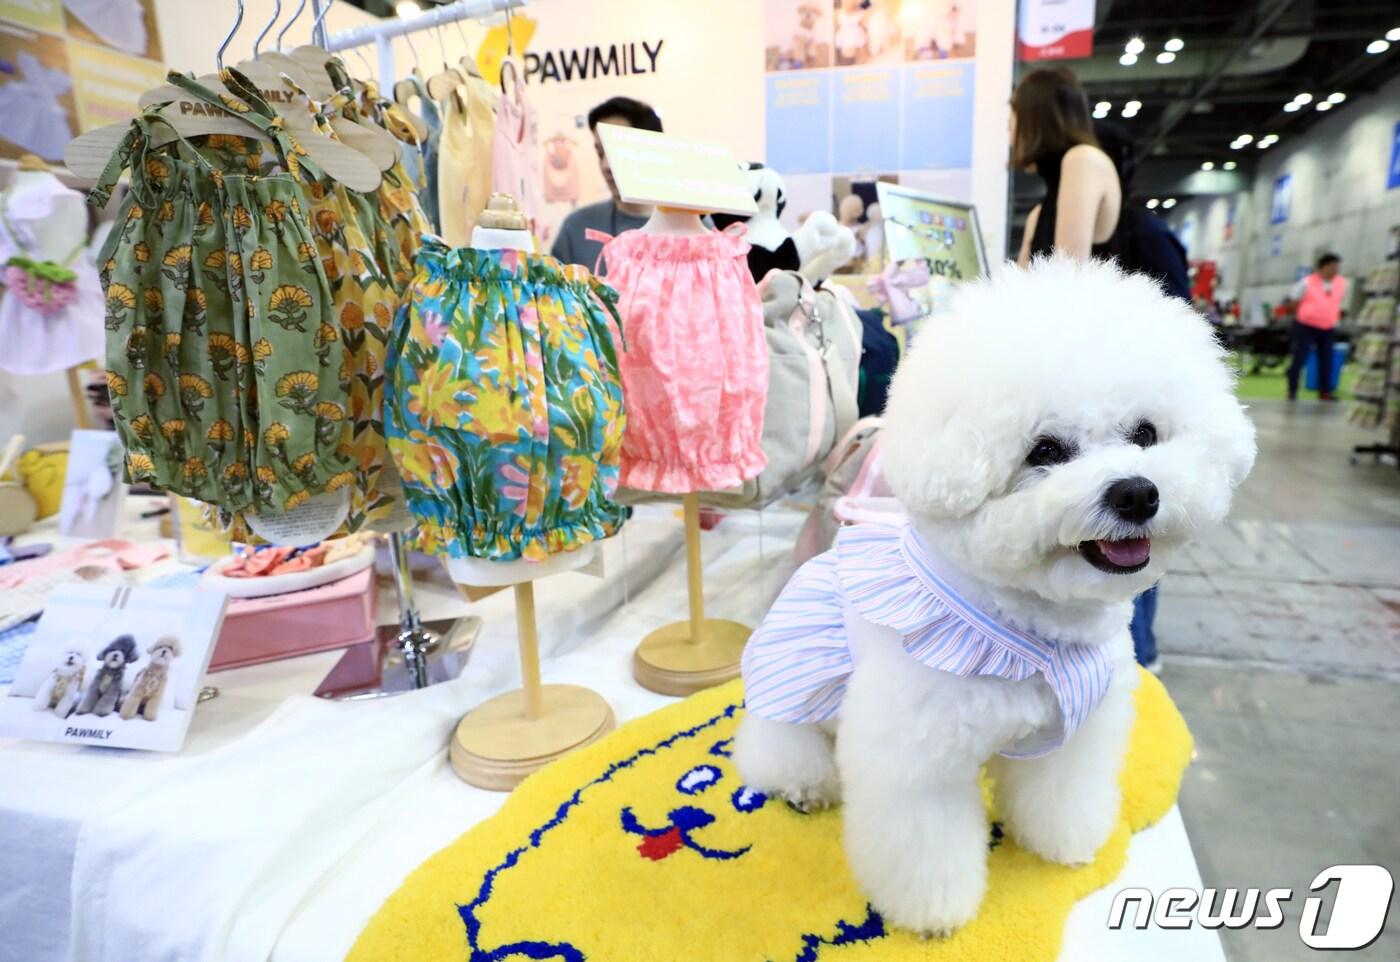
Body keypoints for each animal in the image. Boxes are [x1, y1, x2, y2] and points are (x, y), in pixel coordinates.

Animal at [733, 256, 1260, 935]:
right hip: (791, 690)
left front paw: (1066, 843)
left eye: (1145, 433)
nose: (1137, 492)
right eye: (1045, 451)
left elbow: (1062, 793)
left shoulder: (1074, 733)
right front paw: (934, 913)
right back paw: (806, 784)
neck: (1030, 621)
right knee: (773, 748)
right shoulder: (915, 762)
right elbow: (925, 847)